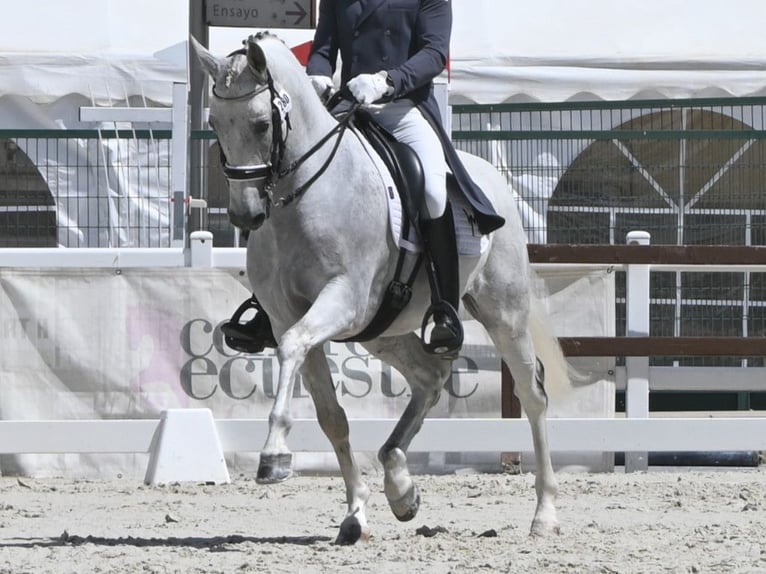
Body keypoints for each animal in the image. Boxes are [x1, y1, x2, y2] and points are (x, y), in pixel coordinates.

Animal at [192, 33, 576, 548]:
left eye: (259, 123)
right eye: (215, 123)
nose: (245, 215)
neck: (306, 196)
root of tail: (488, 177)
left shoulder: (342, 301)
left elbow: (291, 348)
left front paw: (274, 456)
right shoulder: (290, 314)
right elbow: (331, 416)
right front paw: (356, 513)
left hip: (504, 313)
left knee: (532, 396)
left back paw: (544, 514)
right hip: (382, 329)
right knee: (430, 375)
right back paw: (401, 486)